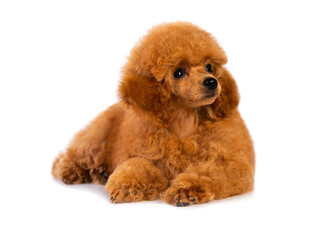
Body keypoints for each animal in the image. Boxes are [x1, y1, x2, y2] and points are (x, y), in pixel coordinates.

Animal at [52, 22, 254, 206]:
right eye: (178, 72)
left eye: (209, 67)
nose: (211, 82)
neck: (184, 122)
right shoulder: (144, 155)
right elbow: (137, 165)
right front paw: (125, 186)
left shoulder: (233, 164)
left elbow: (209, 173)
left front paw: (186, 189)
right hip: (95, 138)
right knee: (70, 156)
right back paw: (72, 170)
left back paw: (100, 173)